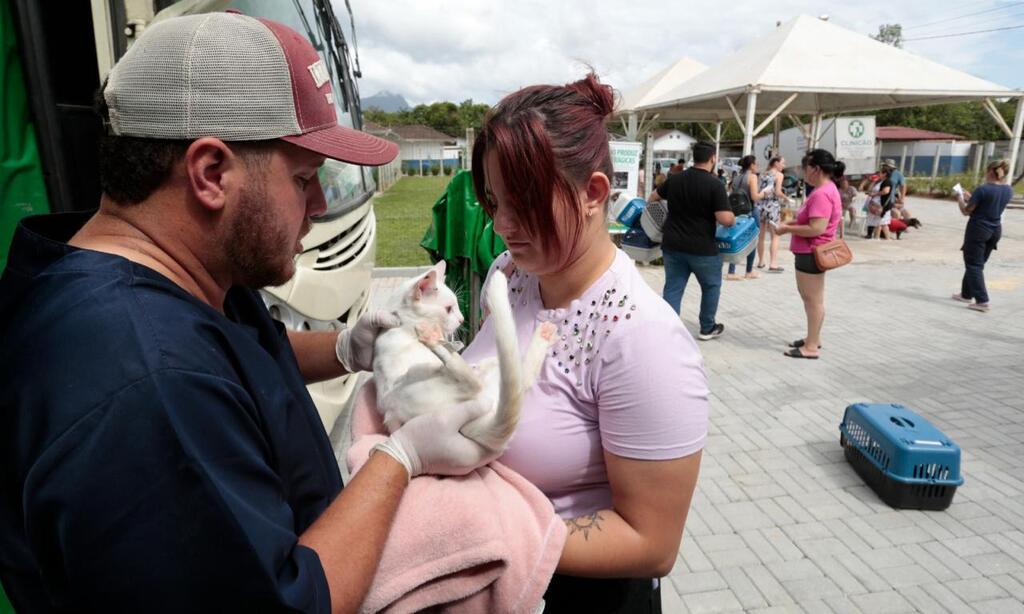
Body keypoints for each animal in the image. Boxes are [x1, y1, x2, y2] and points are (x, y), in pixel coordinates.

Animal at [372, 260, 557, 452]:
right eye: (448, 309)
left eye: (456, 306)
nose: (461, 319)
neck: (404, 327)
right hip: (415, 384)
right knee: (473, 382)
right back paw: (431, 339)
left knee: (522, 375)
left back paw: (544, 335)